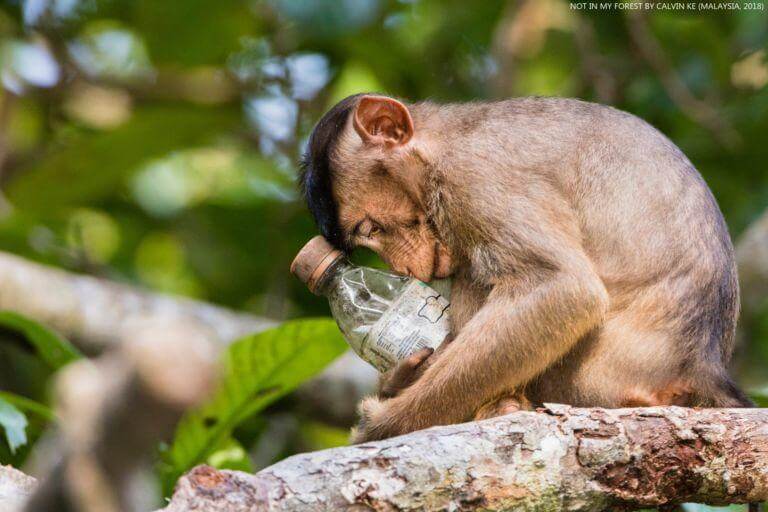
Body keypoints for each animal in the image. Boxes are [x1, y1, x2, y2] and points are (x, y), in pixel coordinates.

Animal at [298, 93, 752, 444]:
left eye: (370, 228)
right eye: (366, 240)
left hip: (593, 377)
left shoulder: (474, 178)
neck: (440, 145)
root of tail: (703, 365)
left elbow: (564, 288)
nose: (400, 265)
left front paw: (387, 423)